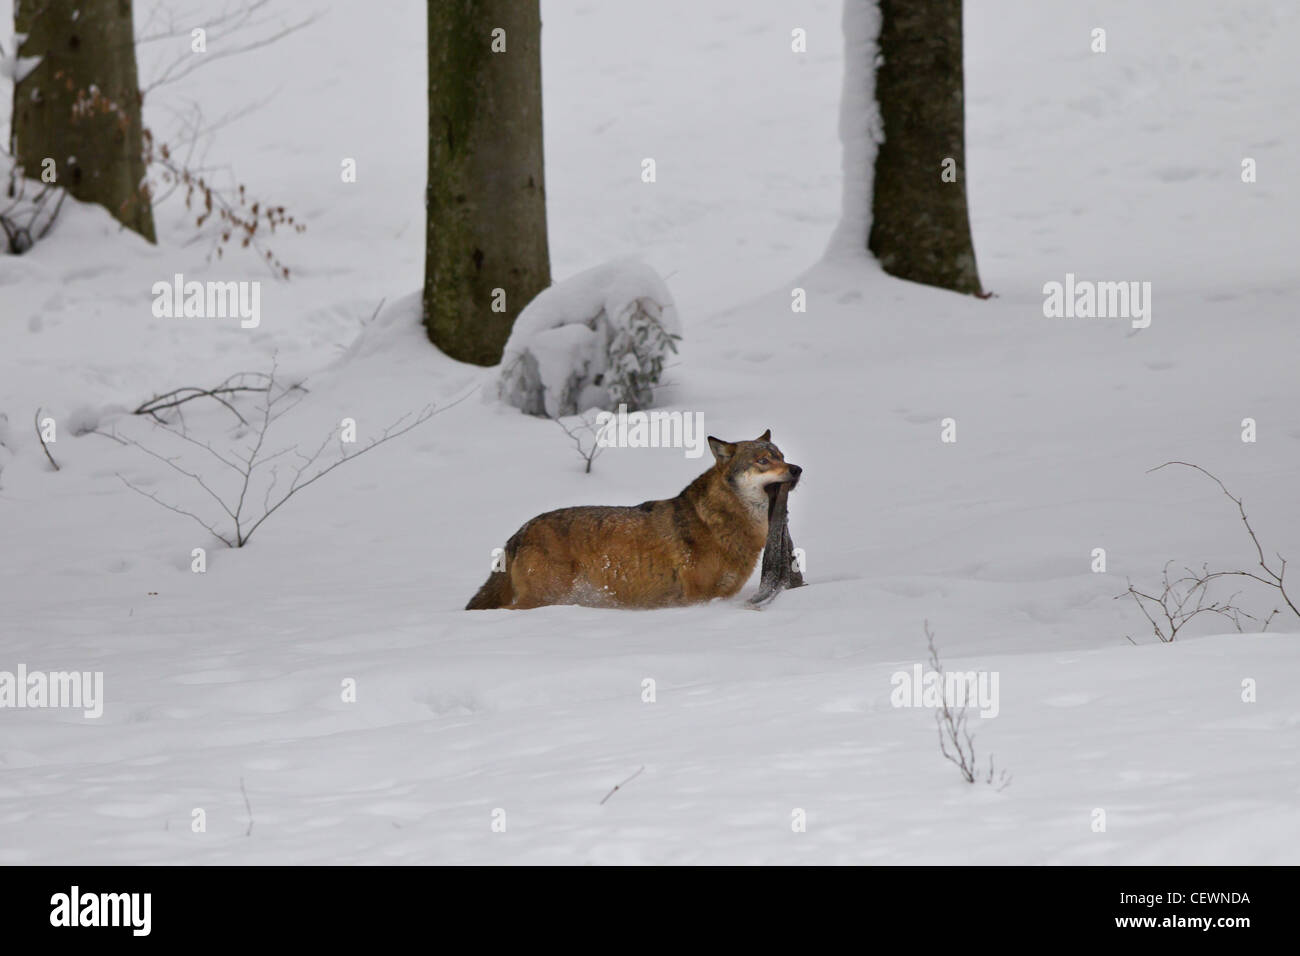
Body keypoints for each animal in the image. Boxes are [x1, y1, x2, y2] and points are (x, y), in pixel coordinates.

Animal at [462, 429, 795, 608]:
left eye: (780, 456)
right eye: (762, 461)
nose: (797, 469)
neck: (718, 520)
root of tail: (521, 531)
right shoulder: (697, 597)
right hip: (546, 597)